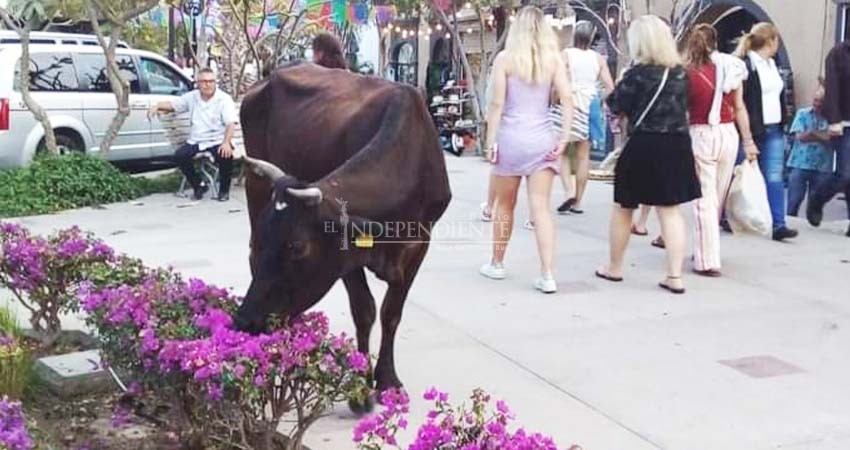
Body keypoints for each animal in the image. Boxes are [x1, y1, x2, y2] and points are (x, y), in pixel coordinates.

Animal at [232, 60, 450, 408]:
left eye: (298, 247)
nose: (244, 322)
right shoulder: (344, 258)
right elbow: (364, 310)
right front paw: (361, 388)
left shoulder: (419, 245)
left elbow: (391, 312)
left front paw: (387, 380)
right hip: (255, 187)